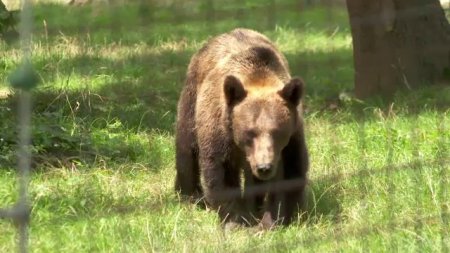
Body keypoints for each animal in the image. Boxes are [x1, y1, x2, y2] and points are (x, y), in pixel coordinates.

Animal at [174, 27, 308, 227]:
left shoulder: (291, 137)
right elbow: (222, 171)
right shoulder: (220, 130)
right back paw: (189, 195)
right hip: (192, 99)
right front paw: (235, 220)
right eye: (249, 132)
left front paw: (271, 220)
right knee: (186, 146)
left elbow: (290, 173)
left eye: (277, 132)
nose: (264, 167)